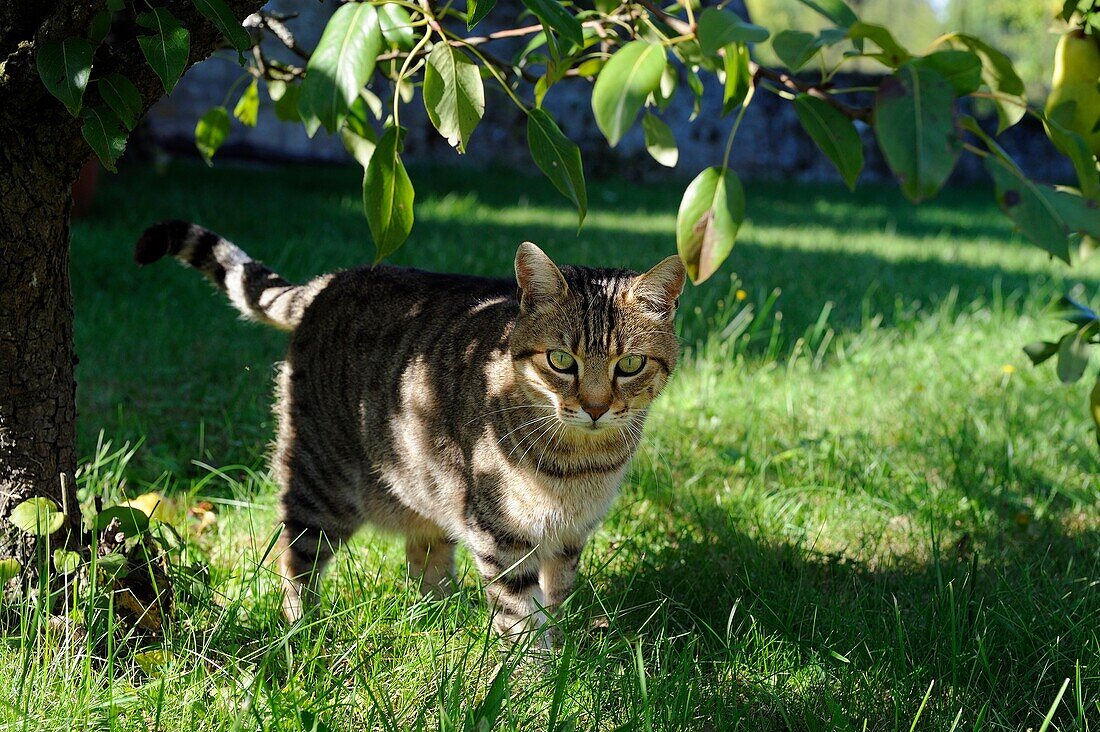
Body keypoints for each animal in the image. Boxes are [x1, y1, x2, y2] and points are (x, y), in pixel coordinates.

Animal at [136, 221, 682, 647]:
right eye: (562, 361)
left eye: (629, 364)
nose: (595, 408)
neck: (580, 464)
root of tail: (331, 280)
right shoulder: (500, 535)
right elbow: (520, 617)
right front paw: (536, 679)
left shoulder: (567, 540)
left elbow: (554, 603)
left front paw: (558, 658)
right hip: (321, 487)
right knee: (294, 560)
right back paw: (301, 631)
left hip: (426, 485)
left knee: (425, 564)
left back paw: (444, 616)